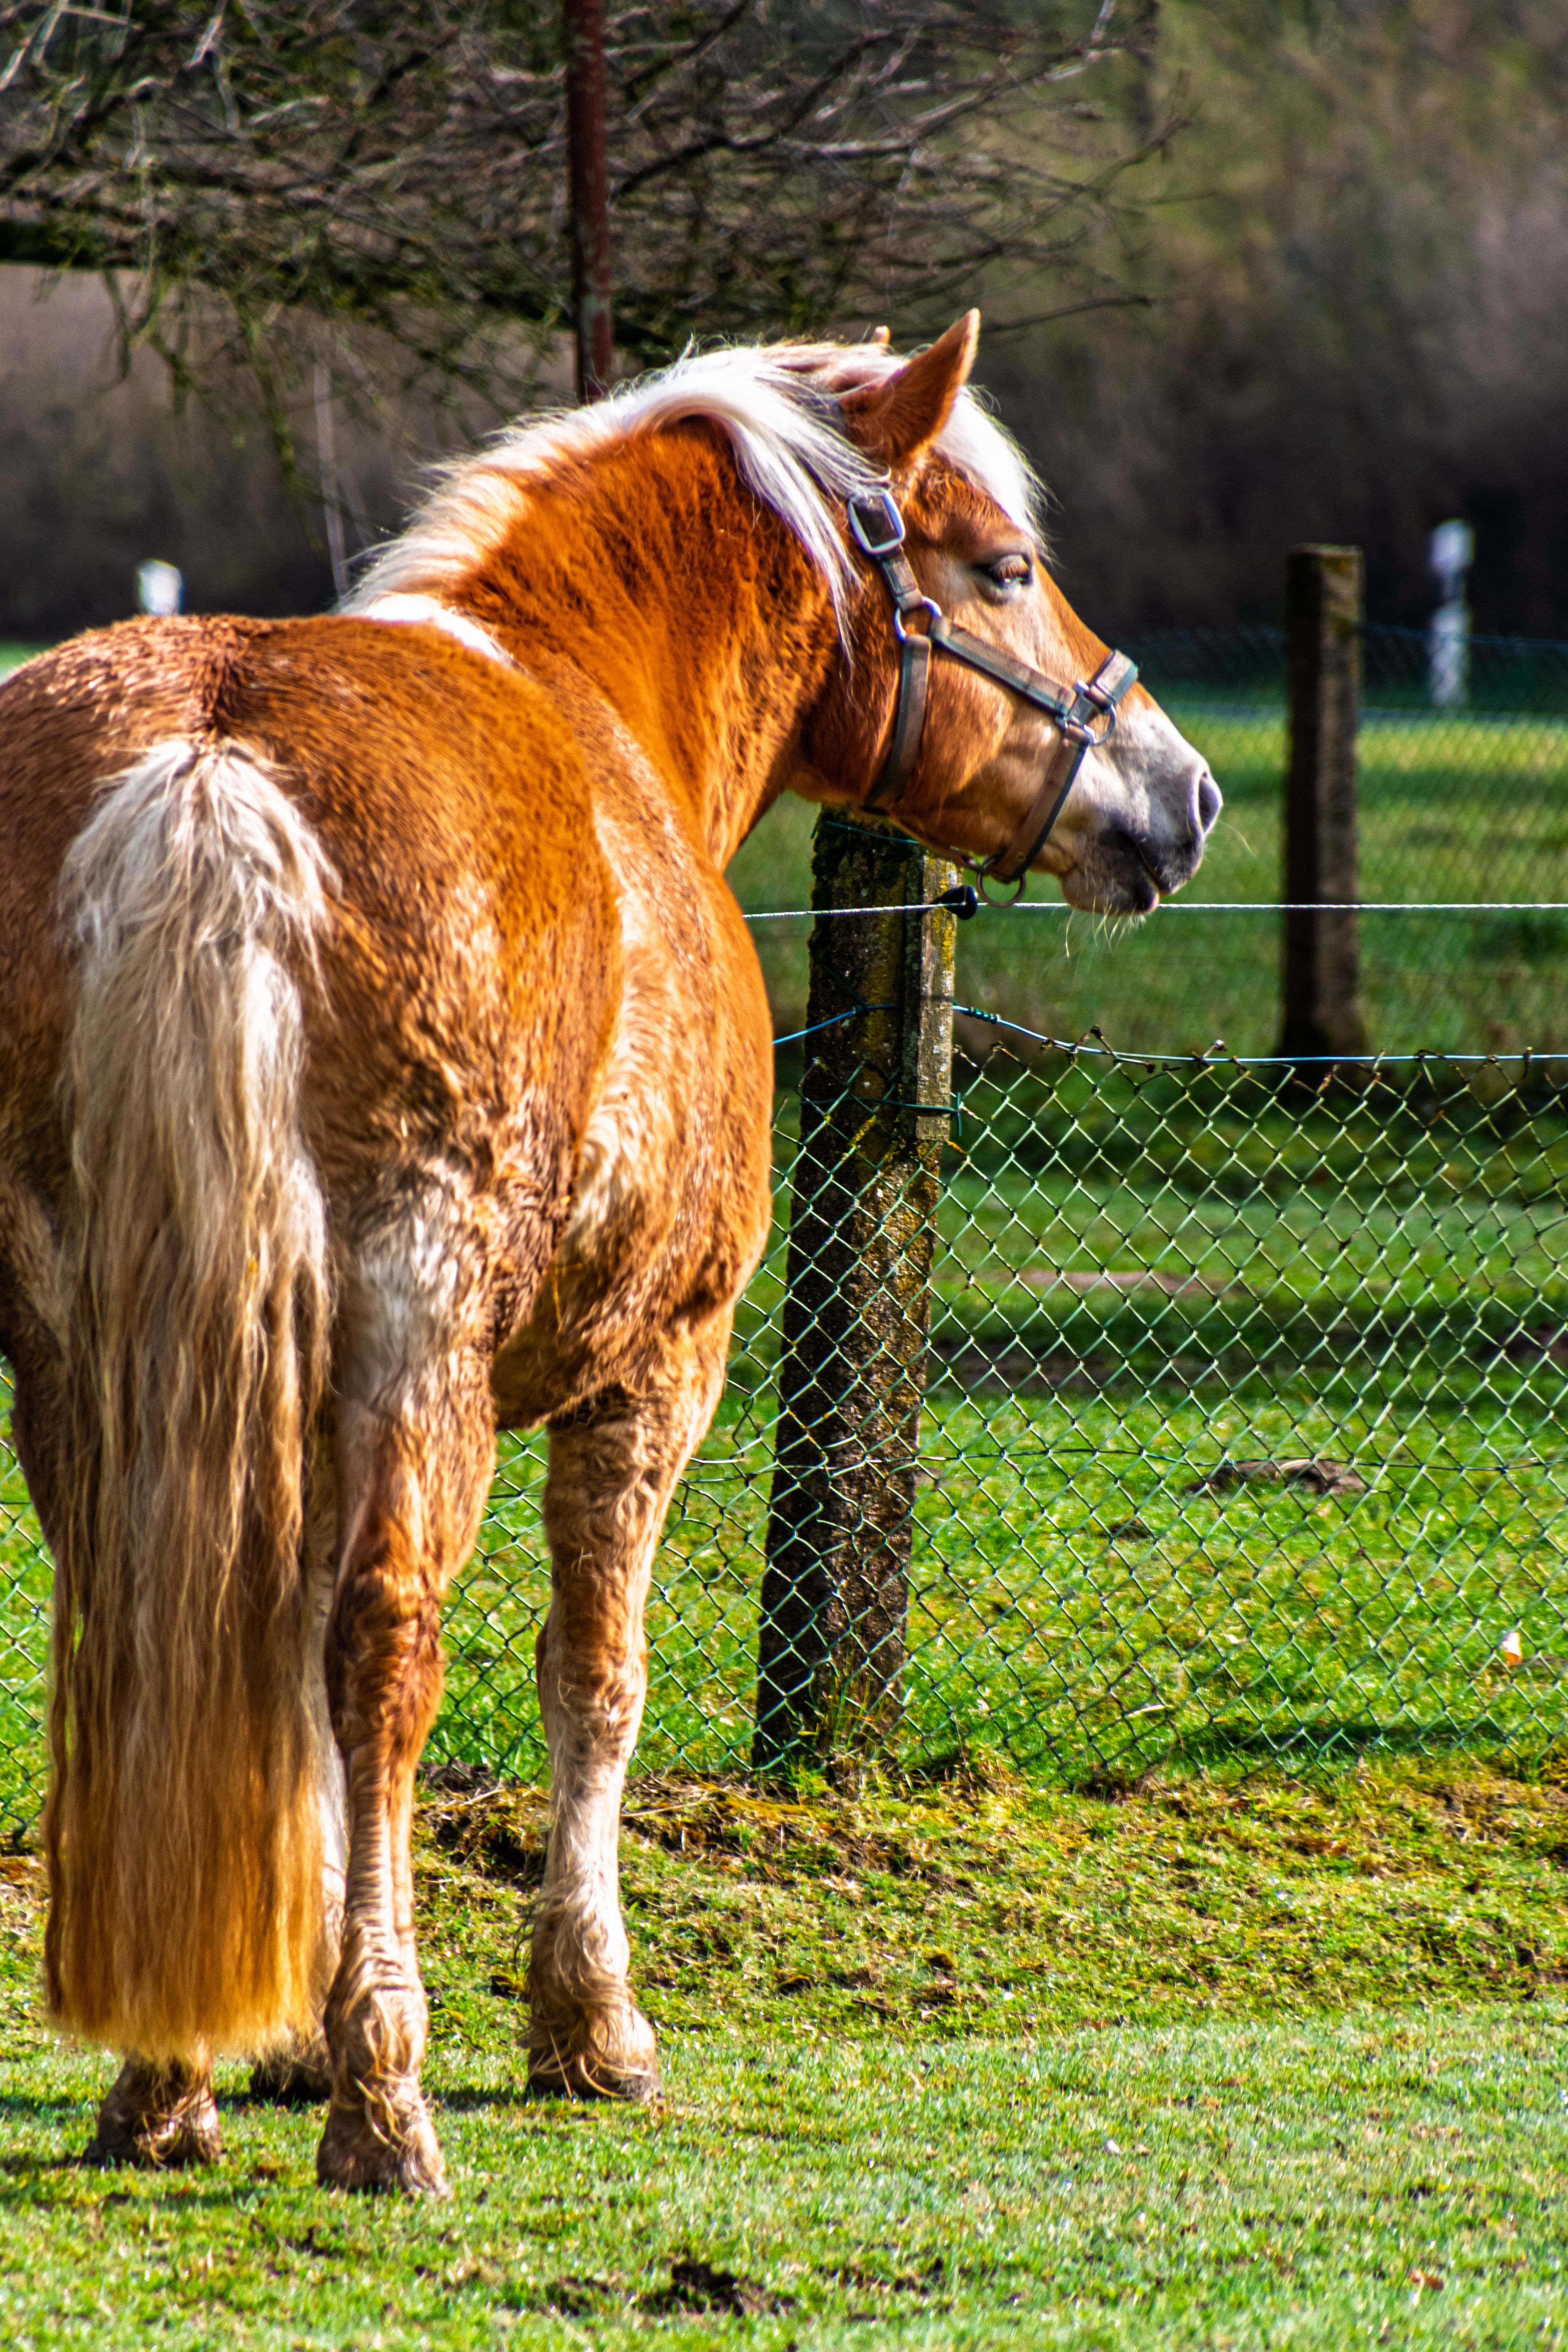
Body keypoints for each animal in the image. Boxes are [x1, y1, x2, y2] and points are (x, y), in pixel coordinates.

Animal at [0, 311, 1219, 2193]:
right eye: (1005, 568)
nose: (1180, 790)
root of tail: (206, 762)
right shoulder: (655, 1370)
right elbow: (596, 1678)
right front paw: (584, 2020)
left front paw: (271, 2023)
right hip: (415, 1341)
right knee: (385, 1649)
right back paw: (386, 2098)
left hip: (88, 1345)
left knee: (148, 1622)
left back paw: (163, 2078)